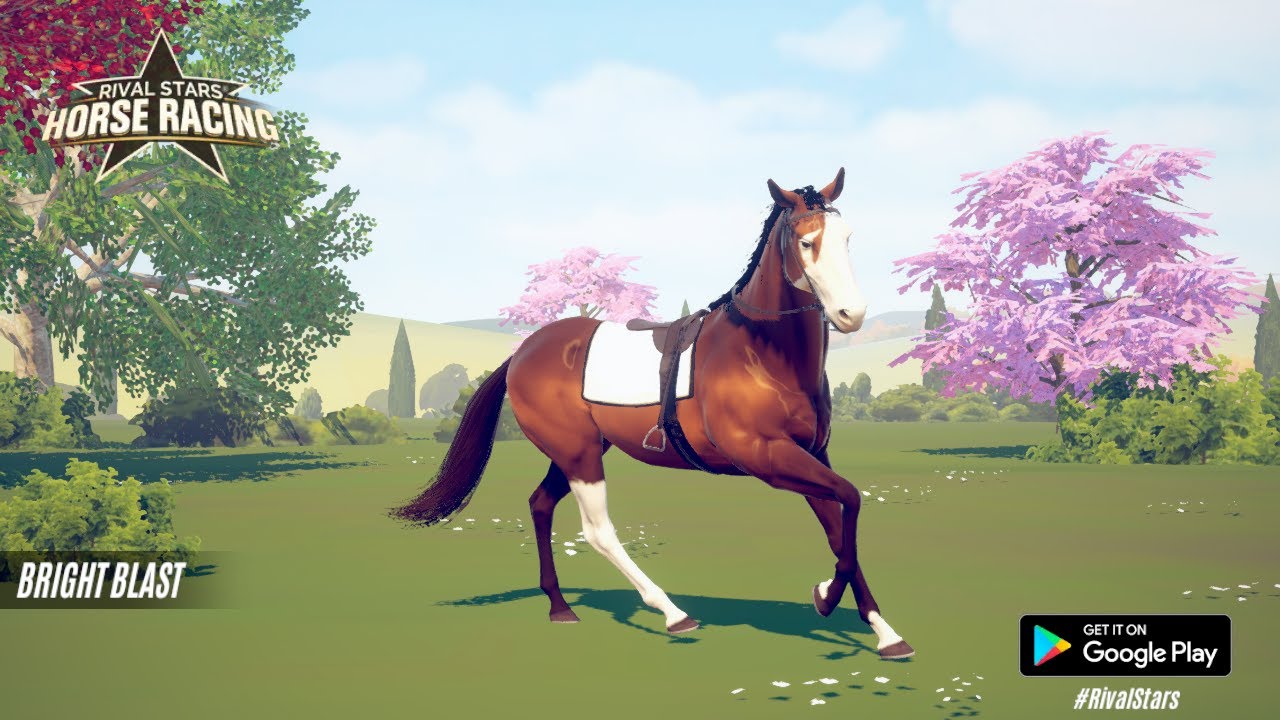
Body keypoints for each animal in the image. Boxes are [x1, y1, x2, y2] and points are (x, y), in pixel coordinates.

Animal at [393, 169, 915, 660]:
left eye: (847, 238)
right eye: (807, 242)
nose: (851, 314)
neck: (761, 353)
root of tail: (525, 351)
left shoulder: (811, 456)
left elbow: (840, 526)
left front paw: (885, 634)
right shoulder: (767, 457)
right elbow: (850, 501)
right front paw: (825, 597)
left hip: (577, 452)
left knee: (541, 504)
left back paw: (560, 606)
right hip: (580, 455)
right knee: (597, 531)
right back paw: (673, 613)